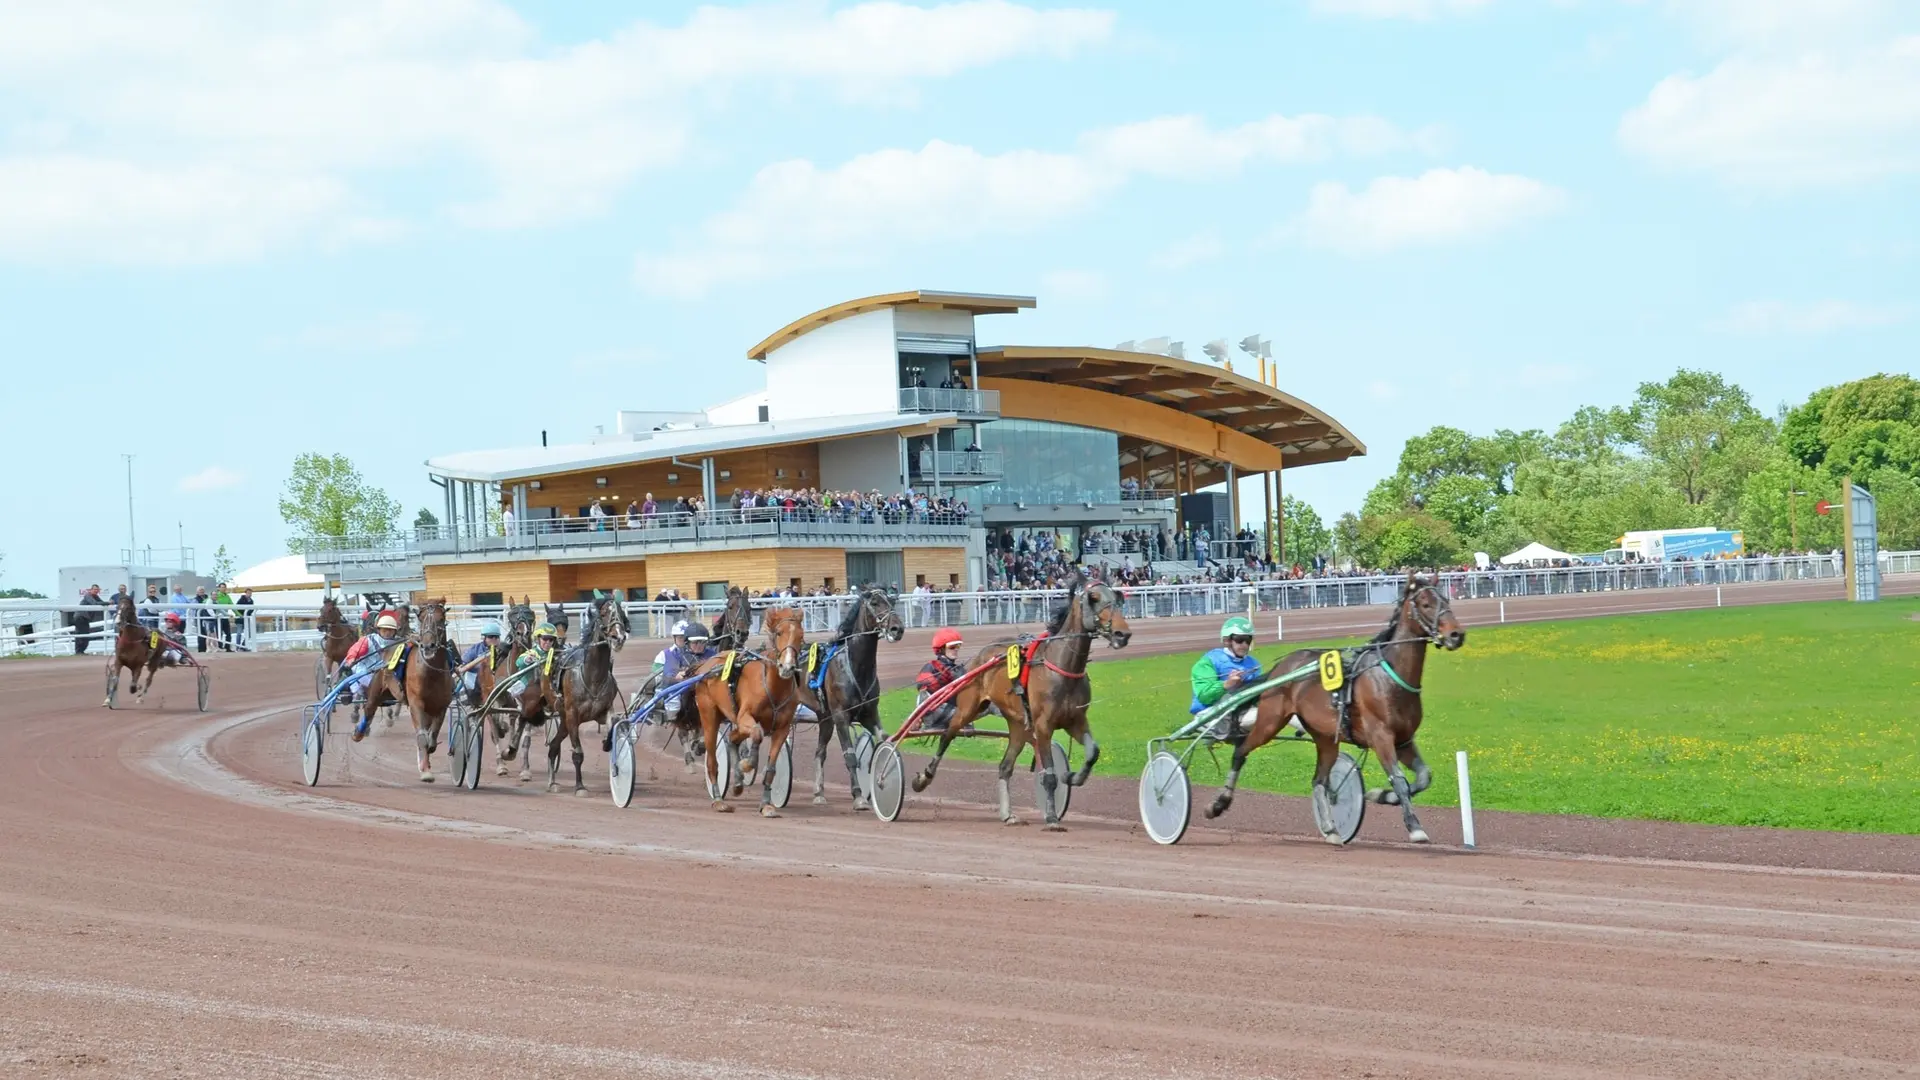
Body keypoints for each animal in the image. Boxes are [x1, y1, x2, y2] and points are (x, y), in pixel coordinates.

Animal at [541, 588, 629, 791]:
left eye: (621, 613)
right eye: (603, 613)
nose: (618, 637)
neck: (592, 676)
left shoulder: (603, 711)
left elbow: (613, 723)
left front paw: (608, 743)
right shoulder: (573, 715)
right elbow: (578, 753)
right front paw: (580, 786)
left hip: (563, 720)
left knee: (553, 746)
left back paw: (552, 781)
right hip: (564, 716)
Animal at [695, 599, 806, 810]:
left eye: (801, 636)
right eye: (779, 633)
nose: (787, 667)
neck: (772, 686)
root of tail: (705, 666)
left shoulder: (782, 728)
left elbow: (771, 768)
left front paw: (766, 804)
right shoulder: (745, 716)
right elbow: (757, 733)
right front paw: (746, 764)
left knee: (732, 739)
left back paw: (737, 783)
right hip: (709, 716)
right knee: (712, 759)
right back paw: (718, 799)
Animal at [798, 584, 910, 803]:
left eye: (892, 602)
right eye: (874, 603)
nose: (897, 629)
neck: (857, 666)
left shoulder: (869, 713)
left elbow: (884, 740)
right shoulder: (840, 716)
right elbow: (850, 756)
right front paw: (858, 796)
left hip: (824, 718)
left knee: (820, 752)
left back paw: (819, 793)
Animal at [910, 576, 1121, 826]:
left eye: (1117, 597)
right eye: (1093, 598)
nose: (1122, 633)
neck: (1058, 667)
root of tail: (981, 657)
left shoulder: (1075, 720)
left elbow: (1091, 752)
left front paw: (1072, 777)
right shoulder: (1043, 725)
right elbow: (1049, 775)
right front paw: (1052, 817)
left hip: (1018, 724)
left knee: (1005, 766)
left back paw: (1007, 813)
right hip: (967, 709)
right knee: (946, 736)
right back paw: (924, 777)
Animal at [1213, 568, 1466, 845]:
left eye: (1446, 600)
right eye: (1425, 604)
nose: (1456, 635)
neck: (1389, 677)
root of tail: (1282, 668)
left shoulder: (1404, 741)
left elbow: (1423, 777)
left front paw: (1381, 795)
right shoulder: (1381, 737)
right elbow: (1399, 780)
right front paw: (1414, 826)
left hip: (1325, 738)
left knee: (1319, 780)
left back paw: (1331, 829)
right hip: (1270, 721)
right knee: (1240, 752)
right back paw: (1220, 802)